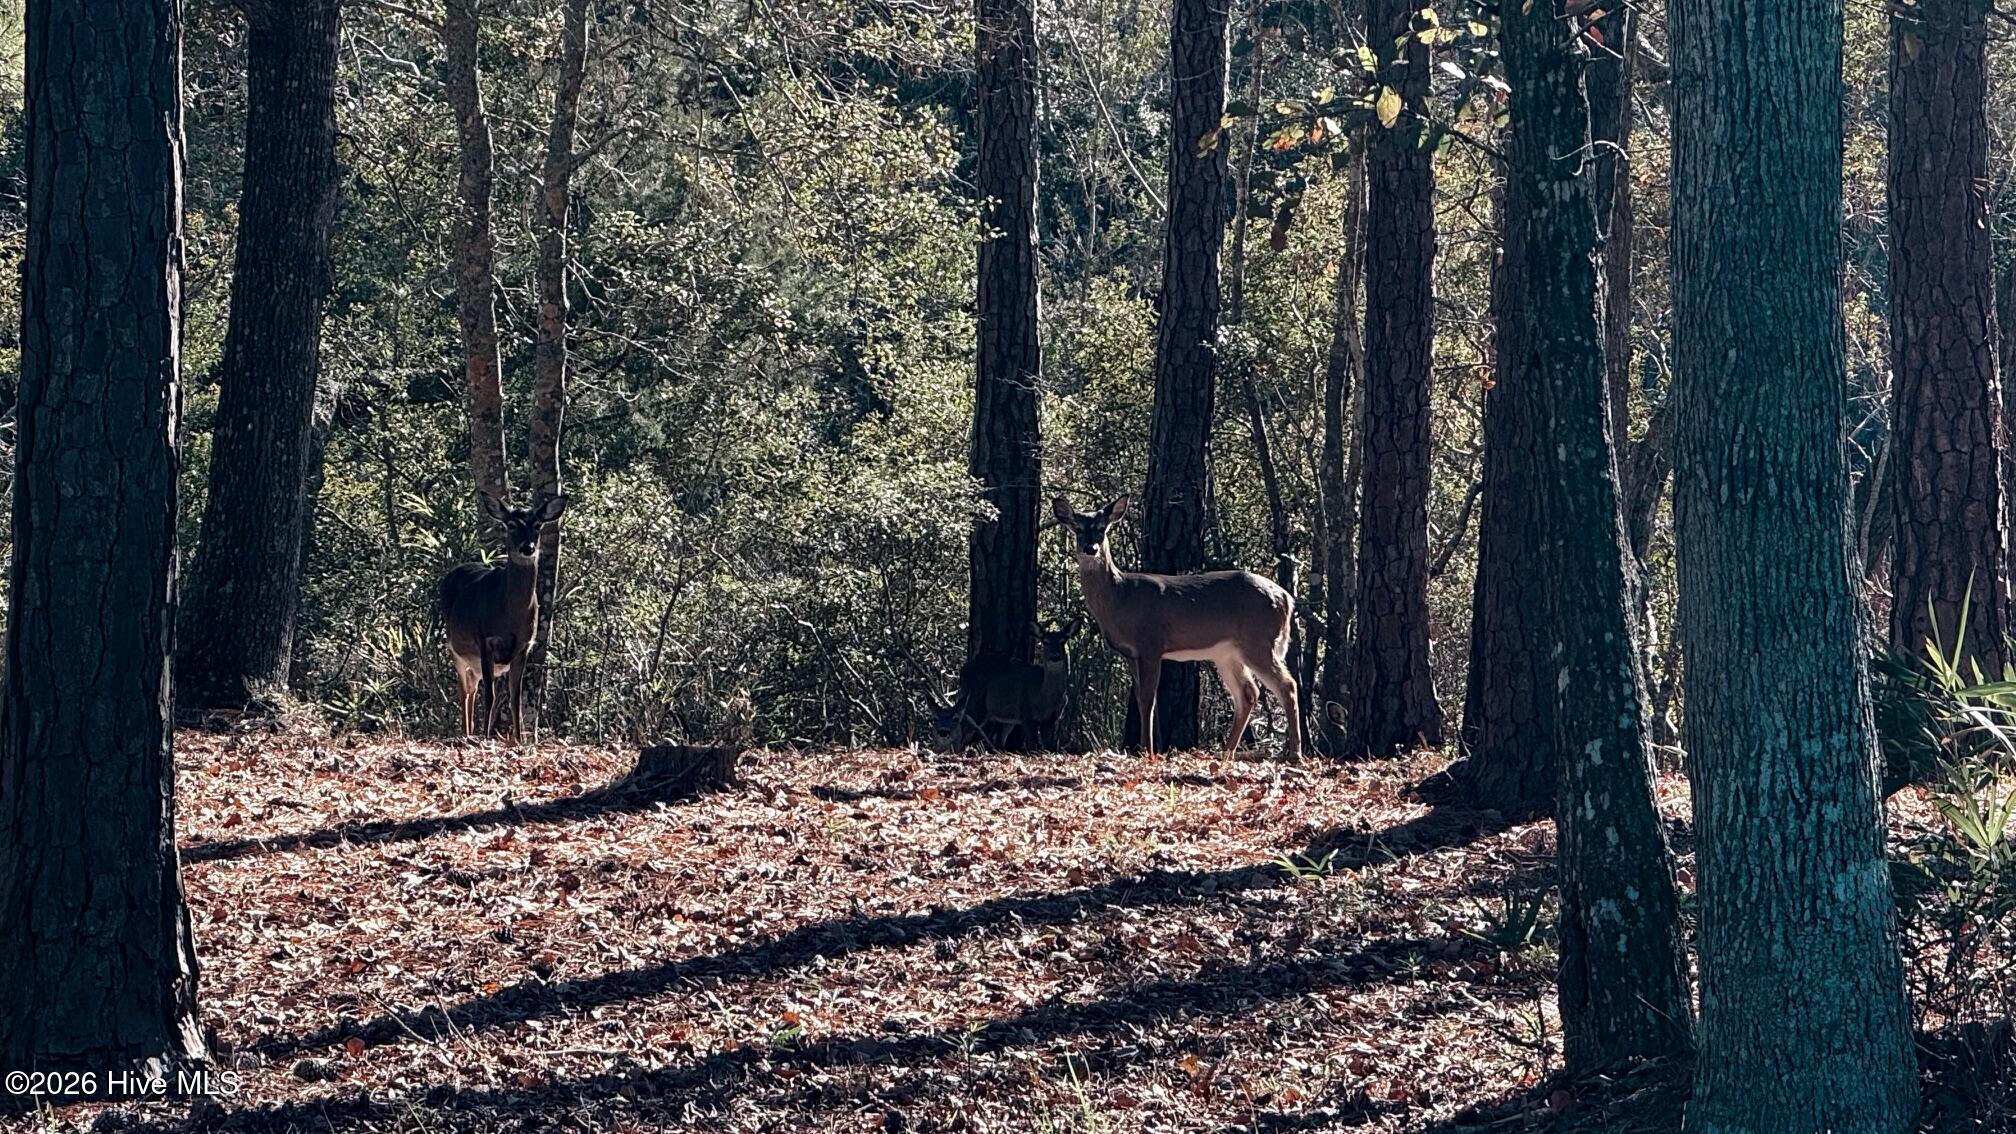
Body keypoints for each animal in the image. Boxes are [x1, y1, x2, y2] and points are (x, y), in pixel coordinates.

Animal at [439, 492, 568, 741]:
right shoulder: (485, 639)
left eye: (537, 525)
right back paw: (466, 733)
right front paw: (487, 736)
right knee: (464, 690)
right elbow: (490, 695)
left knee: (472, 687)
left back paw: (470, 732)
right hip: (455, 648)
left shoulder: (524, 645)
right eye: (511, 525)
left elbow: (515, 698)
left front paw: (519, 740)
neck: (510, 616)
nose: (528, 548)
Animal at [931, 620, 1080, 752]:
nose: (1055, 656)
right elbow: (1033, 745)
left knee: (998, 741)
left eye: (1063, 641)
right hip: (976, 702)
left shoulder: (1052, 719)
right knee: (962, 728)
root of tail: (962, 670)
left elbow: (1048, 746)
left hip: (1005, 717)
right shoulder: (1026, 711)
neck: (1044, 695)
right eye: (1045, 642)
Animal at [1049, 495, 1301, 761]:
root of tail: (1287, 598)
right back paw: (1226, 752)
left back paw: (1294, 753)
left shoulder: (1150, 643)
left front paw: (1147, 750)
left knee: (1287, 685)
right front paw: (1146, 748)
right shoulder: (1131, 653)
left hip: (1258, 640)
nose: (1091, 548)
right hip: (1227, 653)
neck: (1121, 597)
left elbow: (1148, 698)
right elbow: (1140, 697)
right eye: (1078, 529)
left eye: (1101, 529)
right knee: (1248, 692)